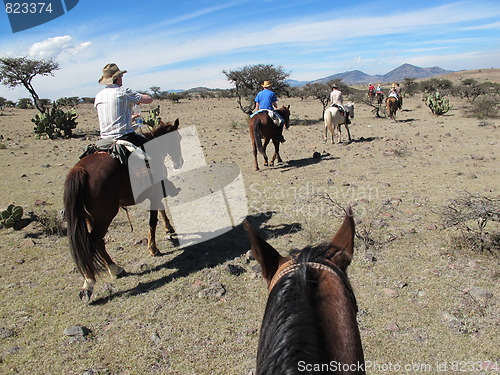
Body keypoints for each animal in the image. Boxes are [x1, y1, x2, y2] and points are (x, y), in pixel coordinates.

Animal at [62, 120, 184, 302]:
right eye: (178, 138)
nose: (179, 162)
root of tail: (80, 170)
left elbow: (160, 211)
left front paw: (168, 229)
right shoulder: (154, 192)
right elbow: (153, 220)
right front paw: (153, 248)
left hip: (91, 216)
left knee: (96, 243)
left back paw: (111, 270)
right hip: (105, 214)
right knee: (93, 241)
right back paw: (92, 280)